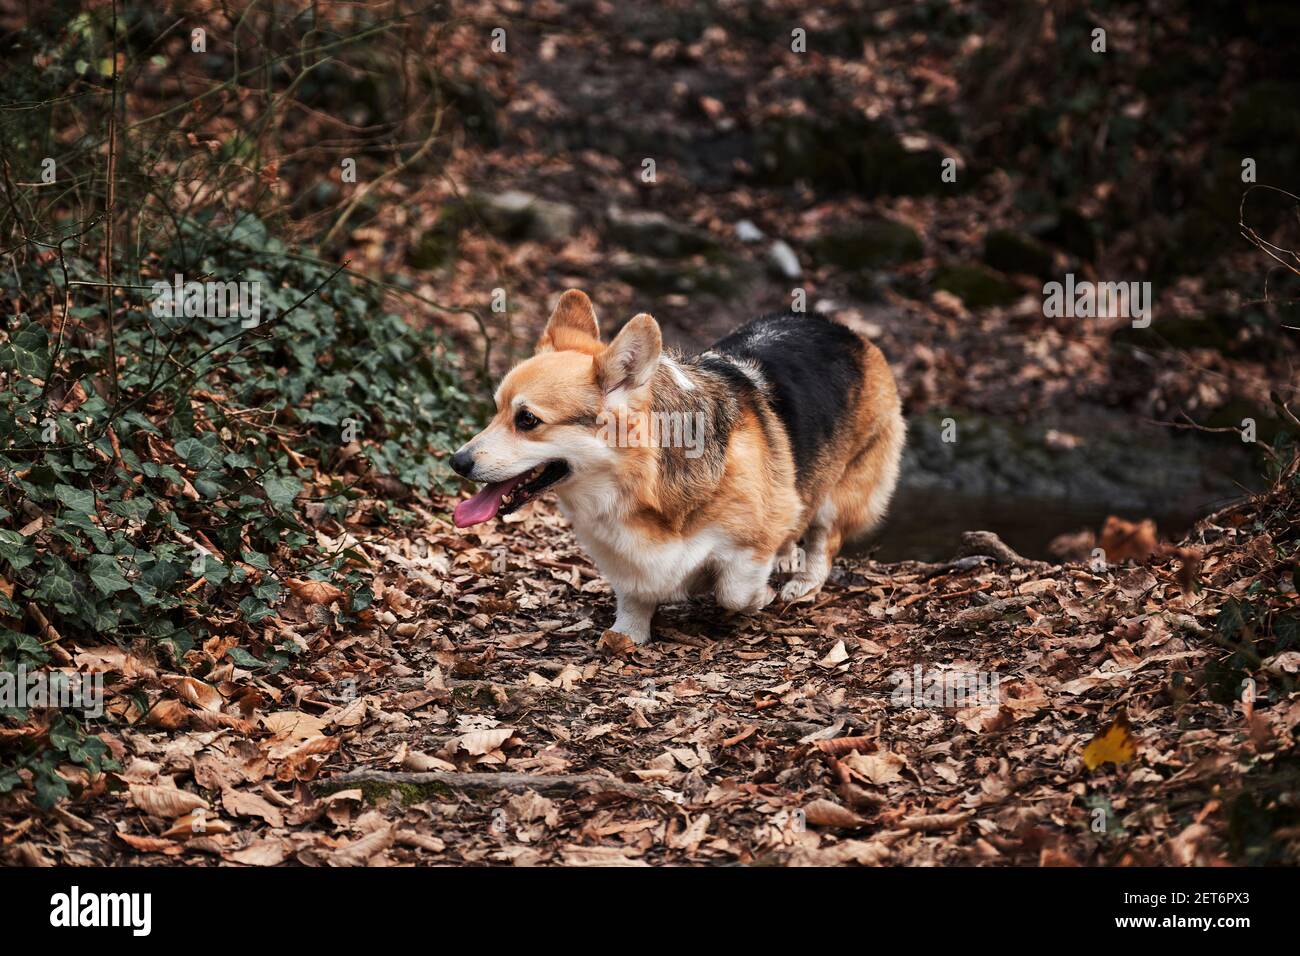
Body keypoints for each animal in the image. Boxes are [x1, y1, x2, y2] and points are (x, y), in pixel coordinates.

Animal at [447, 290, 904, 642]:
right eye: (496, 410)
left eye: (527, 420)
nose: (456, 462)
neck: (639, 483)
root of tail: (843, 330)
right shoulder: (622, 553)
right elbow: (633, 593)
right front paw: (627, 634)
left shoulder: (752, 540)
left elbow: (735, 590)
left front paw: (759, 597)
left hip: (844, 489)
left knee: (825, 537)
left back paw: (802, 582)